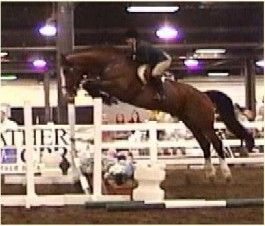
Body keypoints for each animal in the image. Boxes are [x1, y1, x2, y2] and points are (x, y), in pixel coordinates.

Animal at [60, 46, 231, 182]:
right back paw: (210, 173)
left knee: (216, 142)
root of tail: (205, 95)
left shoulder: (120, 88)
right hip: (191, 123)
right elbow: (90, 84)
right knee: (205, 144)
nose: (67, 94)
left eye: (67, 71)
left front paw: (105, 97)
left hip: (204, 123)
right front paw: (104, 97)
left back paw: (226, 173)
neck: (110, 64)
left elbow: (89, 82)